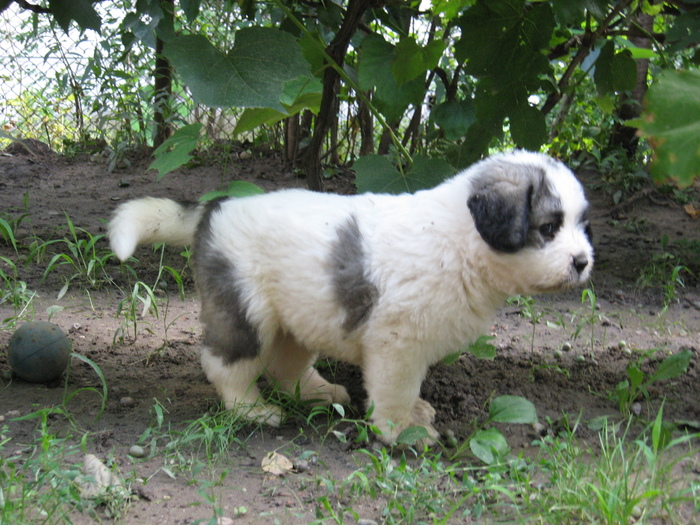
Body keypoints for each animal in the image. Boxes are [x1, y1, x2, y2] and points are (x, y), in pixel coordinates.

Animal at [108, 149, 592, 444]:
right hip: (246, 308)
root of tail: (215, 208)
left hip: (300, 311)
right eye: (548, 227)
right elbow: (395, 389)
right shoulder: (398, 344)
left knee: (286, 363)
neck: (459, 241)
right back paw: (252, 410)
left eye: (580, 225)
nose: (583, 261)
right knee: (226, 362)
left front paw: (415, 414)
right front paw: (402, 432)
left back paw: (317, 391)